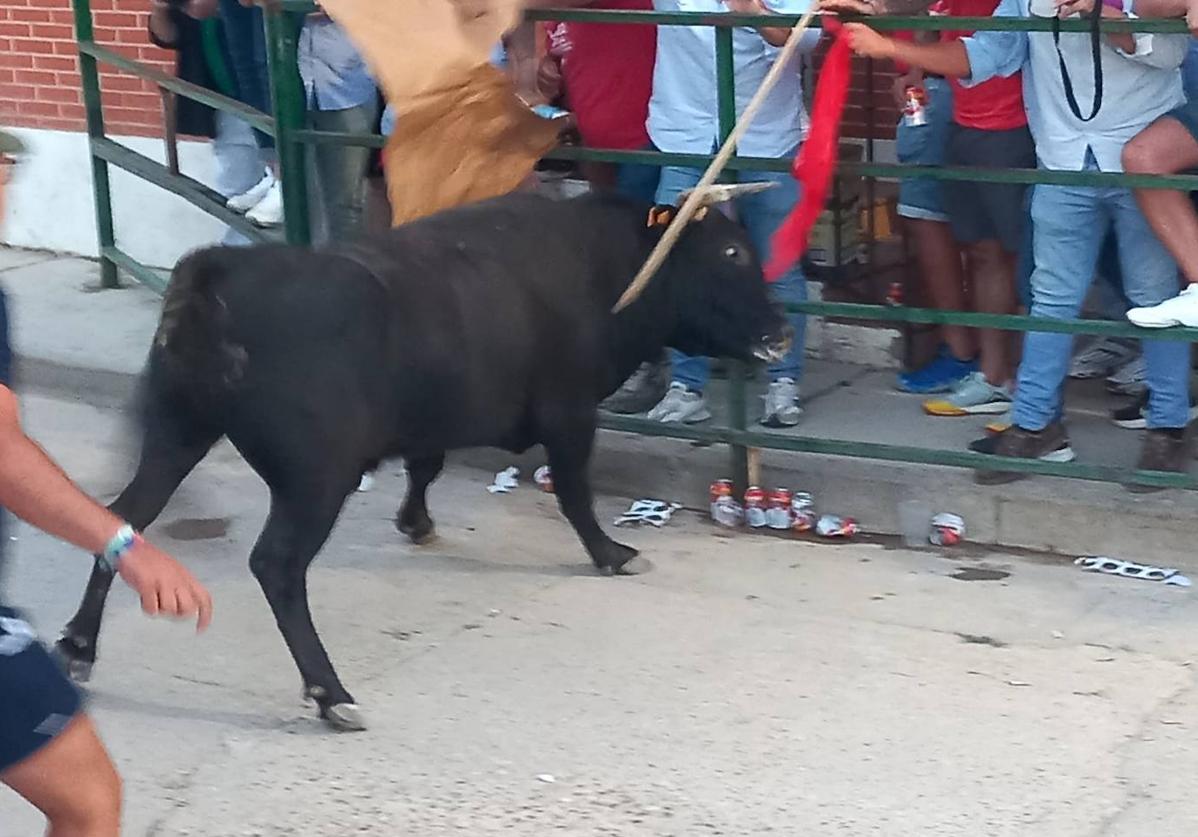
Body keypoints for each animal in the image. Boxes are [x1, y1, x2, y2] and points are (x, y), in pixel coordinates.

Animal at [56, 192, 790, 728]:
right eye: (730, 251)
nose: (781, 332)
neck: (602, 263)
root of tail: (220, 272)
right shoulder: (569, 412)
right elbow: (574, 490)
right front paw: (612, 553)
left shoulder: (435, 418)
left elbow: (427, 465)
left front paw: (416, 522)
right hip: (314, 478)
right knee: (276, 565)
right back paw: (332, 694)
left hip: (176, 434)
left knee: (126, 514)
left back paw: (79, 646)